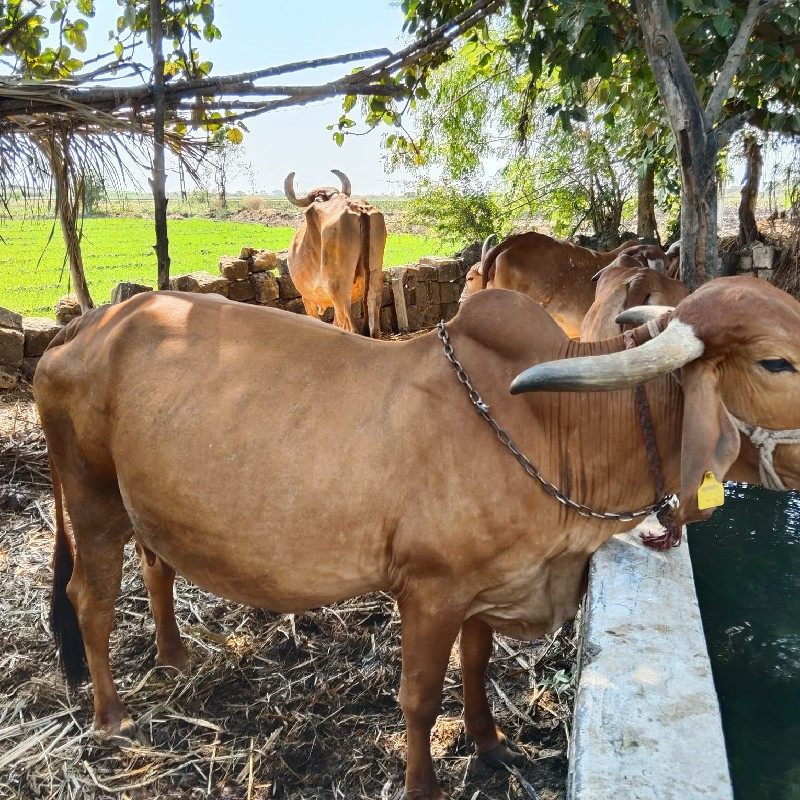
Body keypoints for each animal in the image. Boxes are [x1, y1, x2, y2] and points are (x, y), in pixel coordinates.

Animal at [32, 276, 800, 800]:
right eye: (776, 363)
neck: (555, 427)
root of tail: (88, 326)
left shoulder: (489, 585)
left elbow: (477, 667)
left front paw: (491, 743)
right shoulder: (431, 592)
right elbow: (421, 697)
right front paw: (425, 785)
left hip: (144, 505)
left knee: (157, 569)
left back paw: (174, 656)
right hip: (91, 498)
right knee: (90, 601)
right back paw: (113, 718)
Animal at [284, 171, 388, 338]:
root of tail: (356, 207)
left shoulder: (307, 299)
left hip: (338, 287)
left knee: (350, 327)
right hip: (375, 277)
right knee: (374, 327)